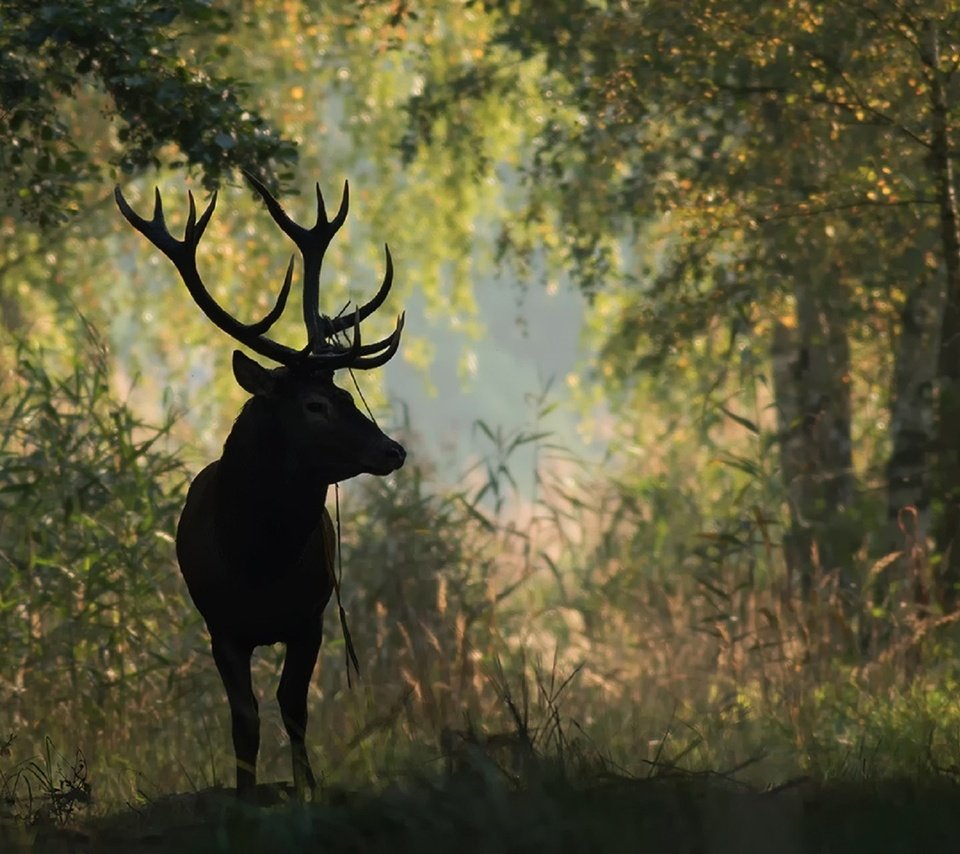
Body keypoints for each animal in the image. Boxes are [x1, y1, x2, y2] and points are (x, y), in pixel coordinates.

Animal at [114, 172, 406, 804]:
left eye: (345, 394)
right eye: (316, 404)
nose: (393, 450)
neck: (258, 562)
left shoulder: (310, 618)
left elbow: (293, 707)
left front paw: (305, 790)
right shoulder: (221, 626)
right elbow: (243, 718)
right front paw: (245, 795)